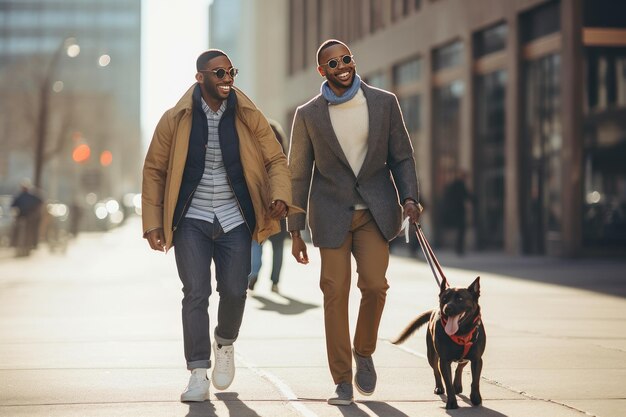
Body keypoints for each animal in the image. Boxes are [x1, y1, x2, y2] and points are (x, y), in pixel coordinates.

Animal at [392, 274, 486, 408]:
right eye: (444, 299)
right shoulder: (444, 360)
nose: (448, 308)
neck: (461, 332)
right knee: (436, 371)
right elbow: (448, 382)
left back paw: (457, 385)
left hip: (466, 358)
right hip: (431, 355)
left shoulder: (477, 359)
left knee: (460, 367)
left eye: (460, 299)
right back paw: (440, 387)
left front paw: (476, 398)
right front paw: (452, 403)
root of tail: (434, 310)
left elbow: (475, 381)